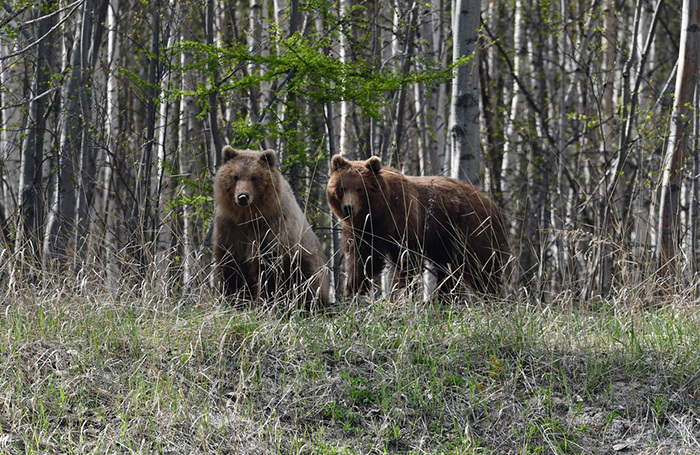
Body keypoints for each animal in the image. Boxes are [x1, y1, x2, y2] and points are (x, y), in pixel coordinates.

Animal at [213, 148, 330, 308]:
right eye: (235, 176)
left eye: (254, 177)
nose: (243, 196)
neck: (247, 217)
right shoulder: (230, 228)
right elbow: (230, 265)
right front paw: (231, 298)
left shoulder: (271, 229)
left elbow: (268, 270)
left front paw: (263, 302)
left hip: (306, 260)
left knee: (307, 282)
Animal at [326, 155, 512, 300]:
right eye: (342, 188)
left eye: (360, 188)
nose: (348, 207)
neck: (377, 212)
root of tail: (495, 207)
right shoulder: (361, 230)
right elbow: (362, 258)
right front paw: (353, 288)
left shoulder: (403, 219)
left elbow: (405, 259)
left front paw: (401, 291)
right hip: (446, 241)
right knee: (449, 270)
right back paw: (445, 297)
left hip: (471, 230)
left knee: (482, 269)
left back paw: (492, 296)